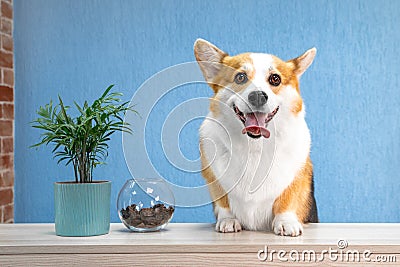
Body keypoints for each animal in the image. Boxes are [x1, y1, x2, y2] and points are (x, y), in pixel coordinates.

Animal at [195, 38, 318, 237]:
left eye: (275, 79)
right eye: (240, 77)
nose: (258, 96)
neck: (255, 145)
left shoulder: (298, 175)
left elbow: (288, 198)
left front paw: (286, 222)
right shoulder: (215, 178)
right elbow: (223, 202)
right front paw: (228, 220)